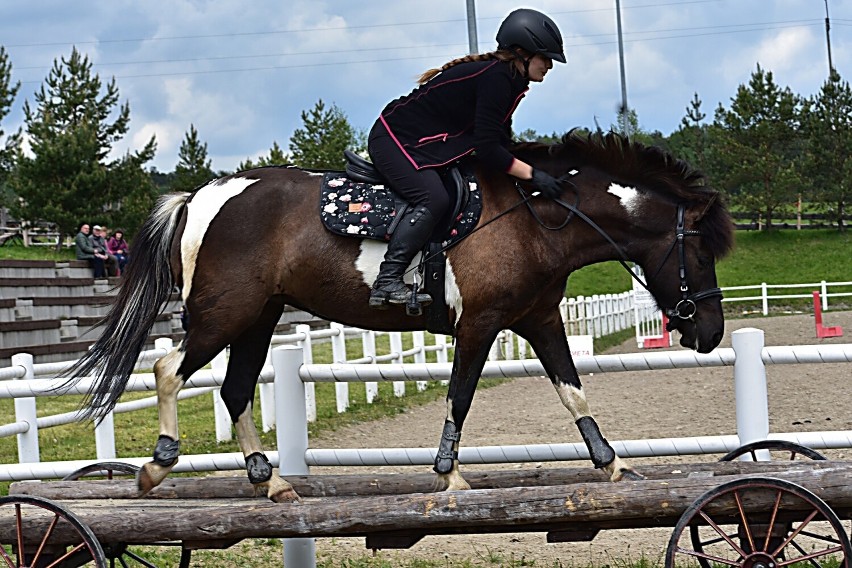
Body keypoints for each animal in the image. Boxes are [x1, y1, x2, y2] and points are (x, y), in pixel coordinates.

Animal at [65, 132, 732, 502]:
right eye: (701, 252)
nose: (709, 333)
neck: (538, 218)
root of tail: (203, 194)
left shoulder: (539, 320)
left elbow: (572, 391)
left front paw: (613, 463)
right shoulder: (479, 324)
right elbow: (461, 395)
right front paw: (449, 476)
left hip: (259, 319)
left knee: (234, 390)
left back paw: (269, 480)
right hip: (225, 314)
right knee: (170, 369)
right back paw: (159, 464)